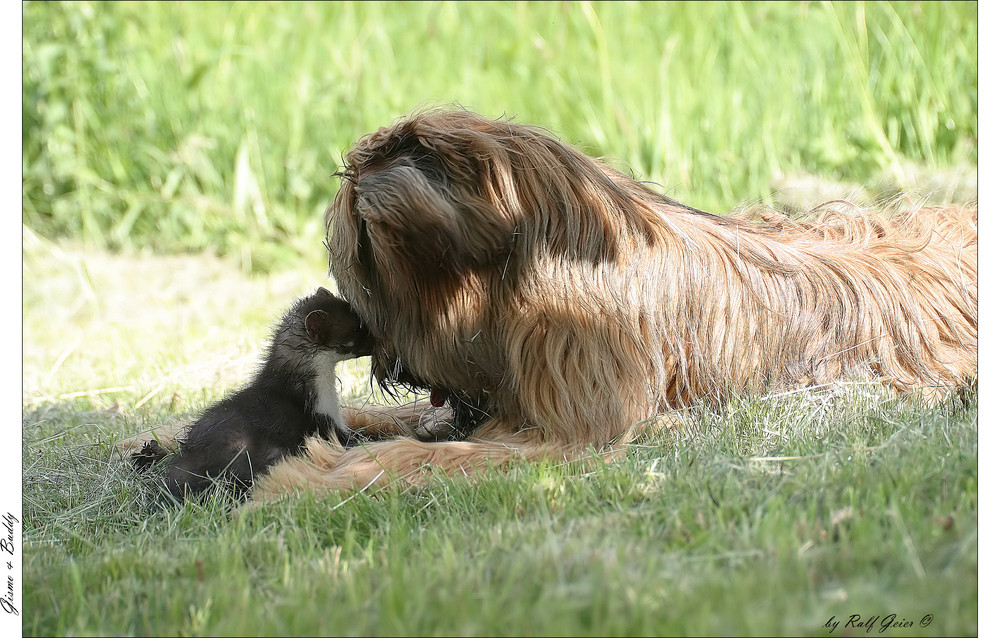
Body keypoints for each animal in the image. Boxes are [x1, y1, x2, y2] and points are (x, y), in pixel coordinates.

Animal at [250, 109, 976, 500]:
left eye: (367, 280)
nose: (391, 364)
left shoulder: (577, 427)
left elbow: (430, 452)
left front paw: (300, 477)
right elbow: (395, 424)